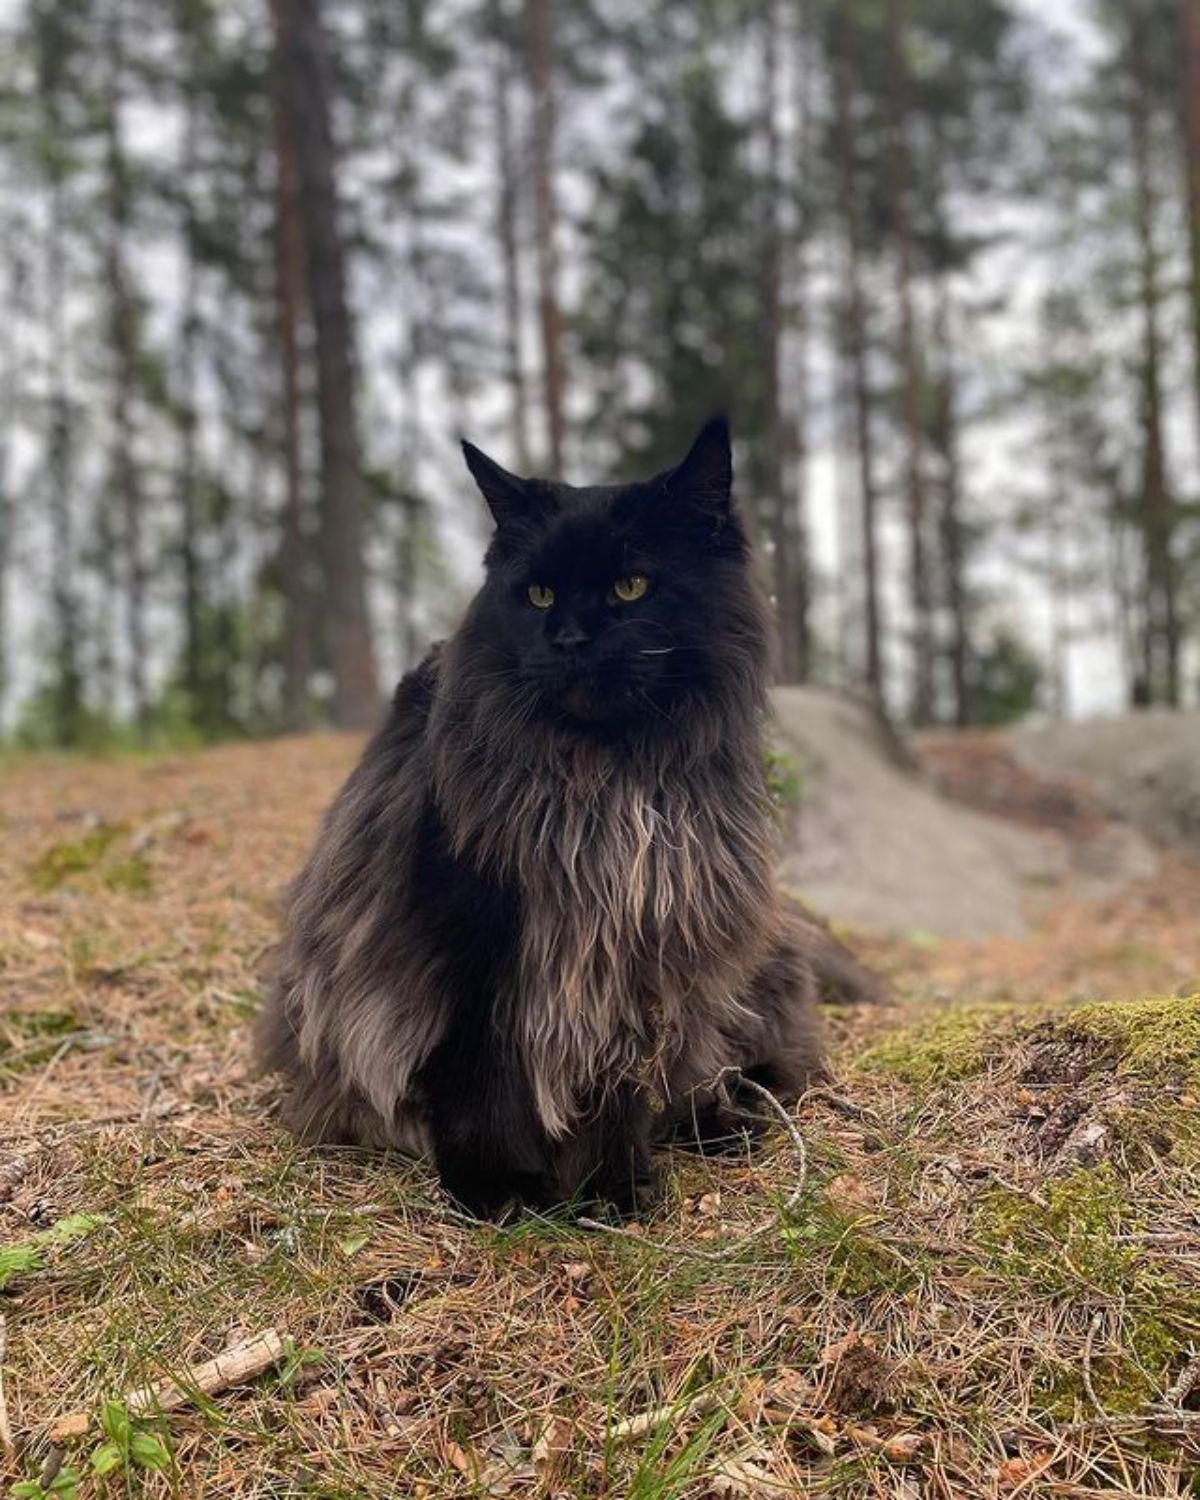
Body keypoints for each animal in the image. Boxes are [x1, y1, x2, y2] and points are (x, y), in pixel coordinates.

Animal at [258, 420, 870, 1218]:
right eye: (540, 593)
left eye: (631, 586)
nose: (571, 640)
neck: (609, 774)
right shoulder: (472, 936)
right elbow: (476, 1074)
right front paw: (494, 1187)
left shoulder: (640, 933)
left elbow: (616, 1078)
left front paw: (613, 1187)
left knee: (743, 1059)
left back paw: (720, 1116)